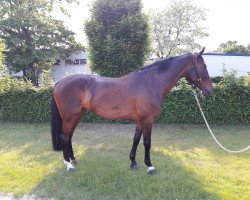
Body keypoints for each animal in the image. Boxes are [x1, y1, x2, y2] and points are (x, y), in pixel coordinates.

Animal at [50, 47, 213, 174]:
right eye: (204, 66)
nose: (209, 90)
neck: (151, 82)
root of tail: (60, 82)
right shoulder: (148, 119)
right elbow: (147, 142)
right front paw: (150, 166)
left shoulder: (141, 119)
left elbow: (136, 138)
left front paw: (133, 162)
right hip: (69, 117)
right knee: (64, 137)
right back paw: (69, 165)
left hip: (77, 116)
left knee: (69, 137)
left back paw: (73, 160)